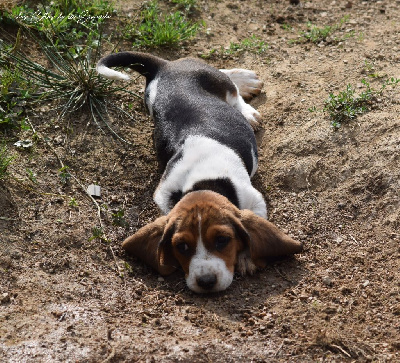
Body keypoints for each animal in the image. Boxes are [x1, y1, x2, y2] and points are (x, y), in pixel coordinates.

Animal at [97, 52, 304, 294]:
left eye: (223, 240)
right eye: (182, 246)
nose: (206, 282)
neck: (202, 182)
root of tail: (166, 66)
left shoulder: (255, 201)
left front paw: (246, 258)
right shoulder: (163, 195)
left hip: (218, 82)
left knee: (231, 88)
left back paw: (247, 99)